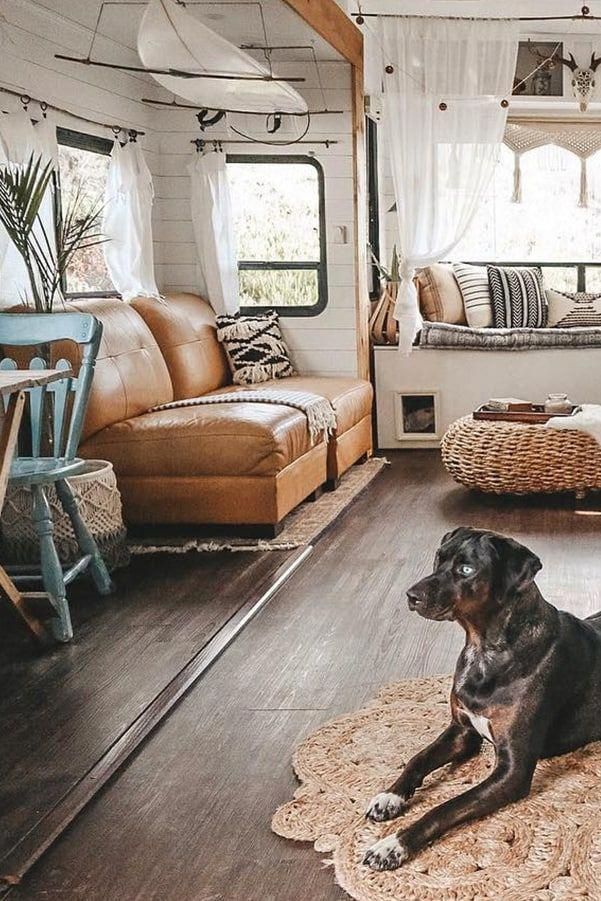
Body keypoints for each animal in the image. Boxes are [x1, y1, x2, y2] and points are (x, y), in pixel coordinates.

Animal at [360, 524, 600, 868]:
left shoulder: (512, 771)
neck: (484, 650)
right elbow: (418, 758)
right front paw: (389, 796)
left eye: (467, 570)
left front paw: (393, 844)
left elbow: (446, 807)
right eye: (439, 558)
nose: (411, 595)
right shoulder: (462, 731)